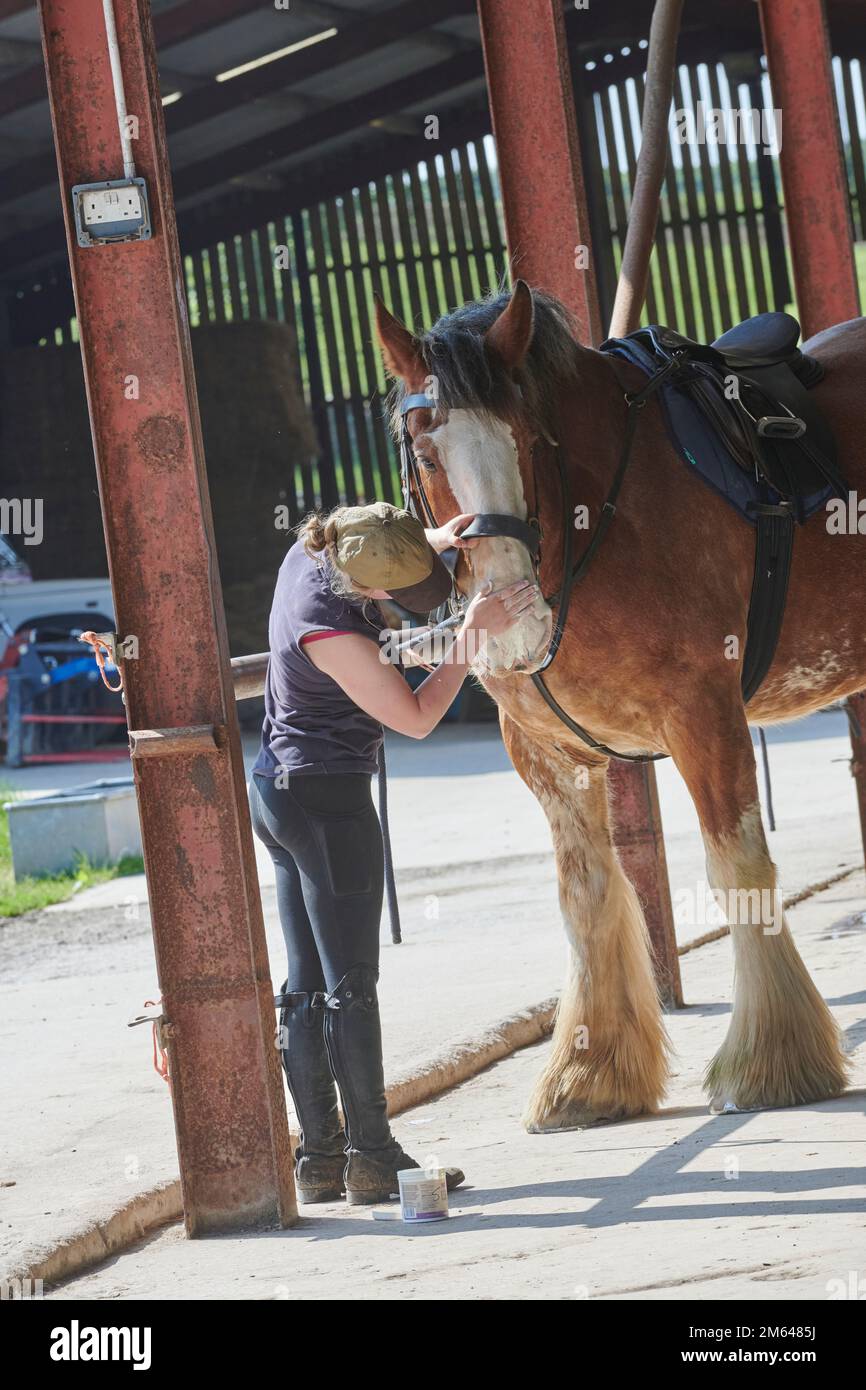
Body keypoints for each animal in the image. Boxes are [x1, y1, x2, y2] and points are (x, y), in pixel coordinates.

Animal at [375, 279, 861, 1128]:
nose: (510, 616)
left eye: (527, 437)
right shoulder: (545, 751)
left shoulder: (705, 714)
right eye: (427, 453)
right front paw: (589, 1069)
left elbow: (738, 866)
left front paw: (771, 1062)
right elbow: (589, 891)